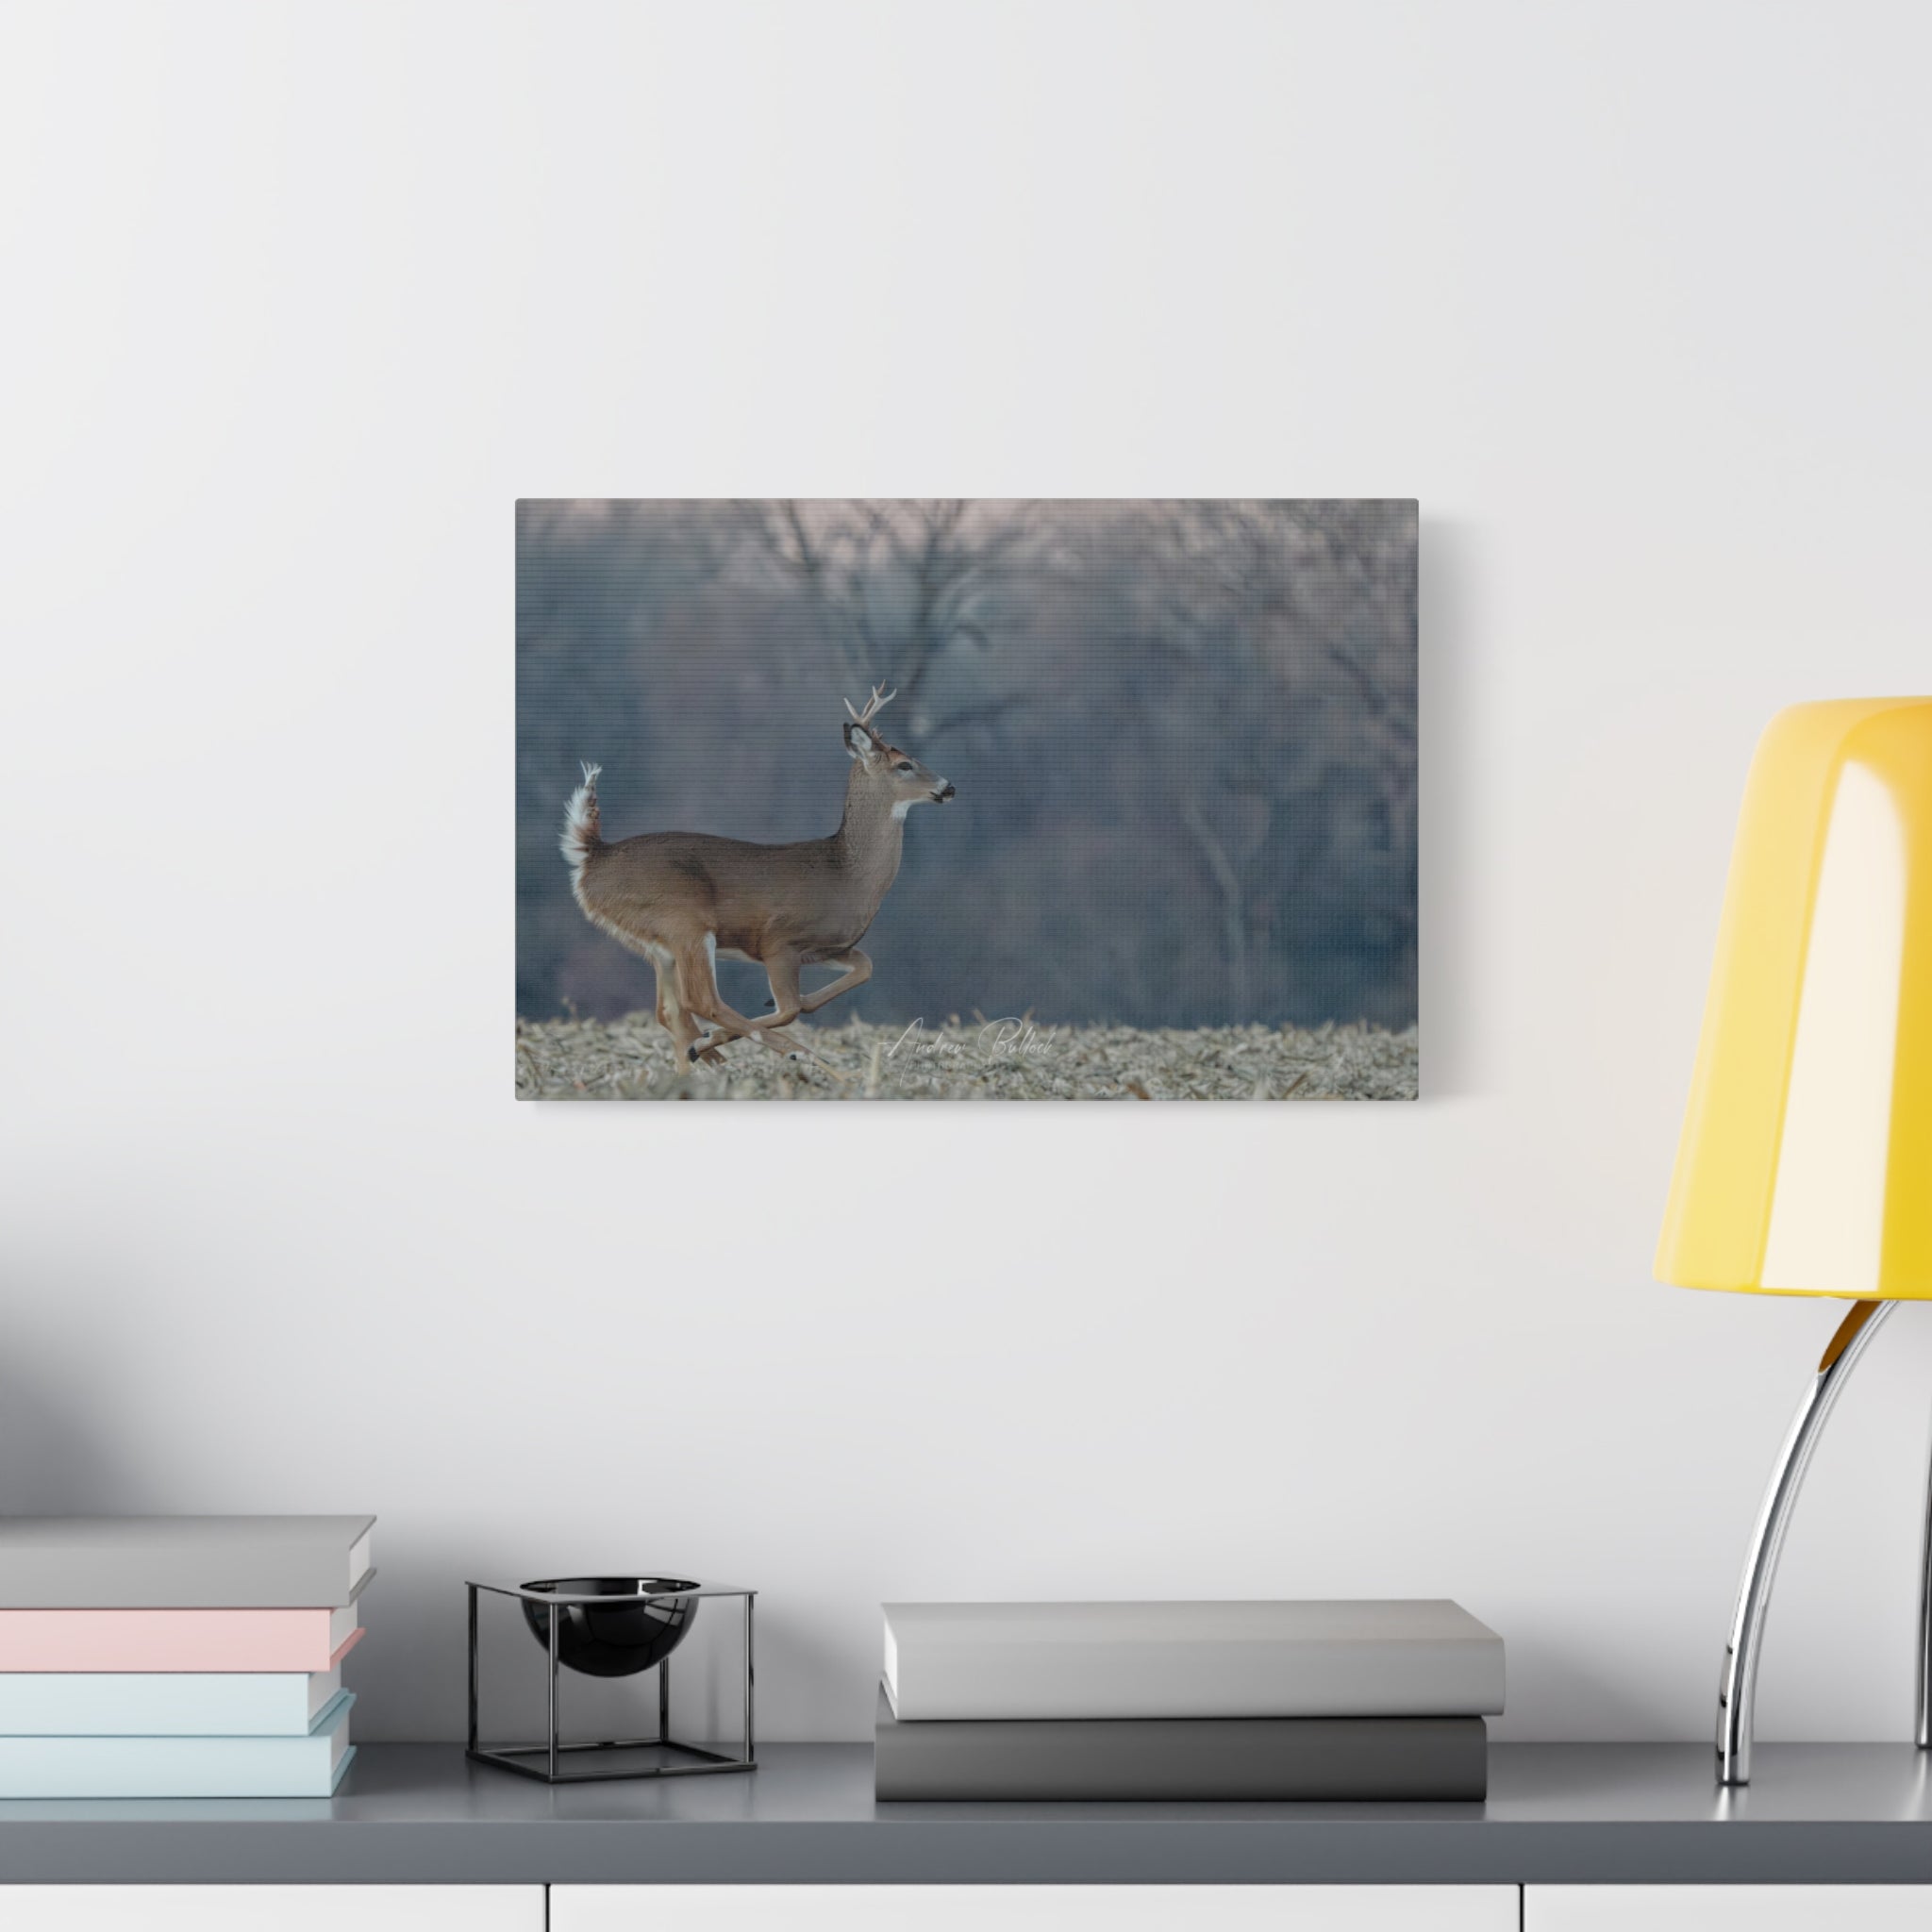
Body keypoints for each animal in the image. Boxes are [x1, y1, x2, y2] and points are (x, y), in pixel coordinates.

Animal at [560, 687, 956, 1069]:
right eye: (904, 764)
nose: (949, 787)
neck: (849, 874)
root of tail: (594, 855)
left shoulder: (830, 947)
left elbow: (863, 969)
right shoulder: (778, 941)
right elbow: (790, 1008)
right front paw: (730, 1036)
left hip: (659, 944)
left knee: (670, 1010)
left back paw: (702, 1062)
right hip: (684, 921)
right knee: (701, 1000)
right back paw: (791, 1056)